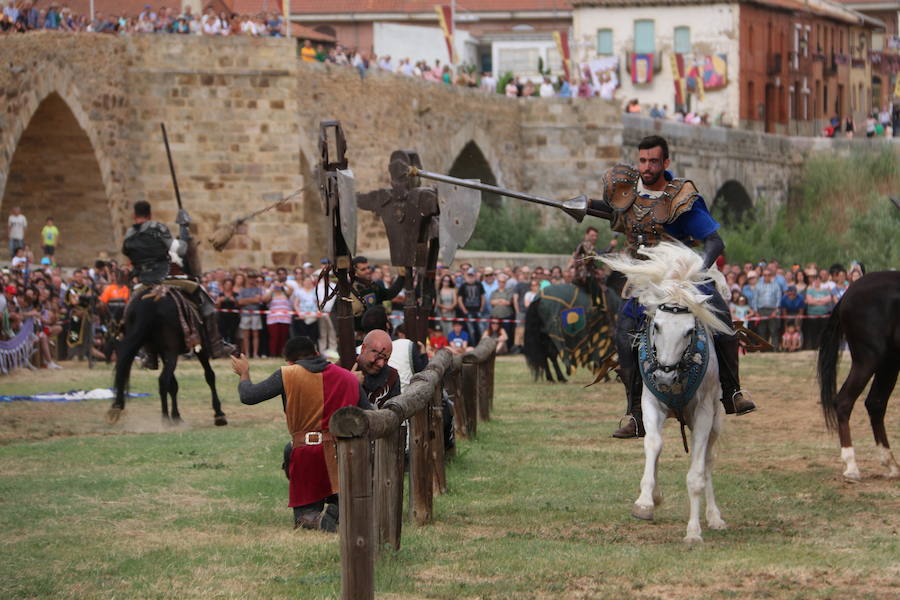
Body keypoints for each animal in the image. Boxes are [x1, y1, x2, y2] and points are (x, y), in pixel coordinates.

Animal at [107, 290, 227, 426]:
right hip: (172, 352)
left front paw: (176, 416)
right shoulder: (199, 349)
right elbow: (209, 376)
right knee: (162, 380)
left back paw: (117, 407)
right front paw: (219, 414)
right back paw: (164, 418)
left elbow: (173, 385)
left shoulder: (164, 353)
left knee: (123, 367)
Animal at [600, 241, 736, 540]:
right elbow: (654, 444)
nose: (664, 376)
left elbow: (697, 473)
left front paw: (694, 531)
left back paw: (714, 516)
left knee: (708, 461)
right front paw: (645, 501)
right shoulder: (651, 404)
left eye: (689, 331)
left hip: (716, 419)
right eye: (657, 326)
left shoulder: (703, 414)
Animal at [816, 272, 900, 482]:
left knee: (876, 403)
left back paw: (891, 464)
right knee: (845, 401)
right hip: (868, 359)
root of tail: (848, 293)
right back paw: (851, 466)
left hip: (889, 362)